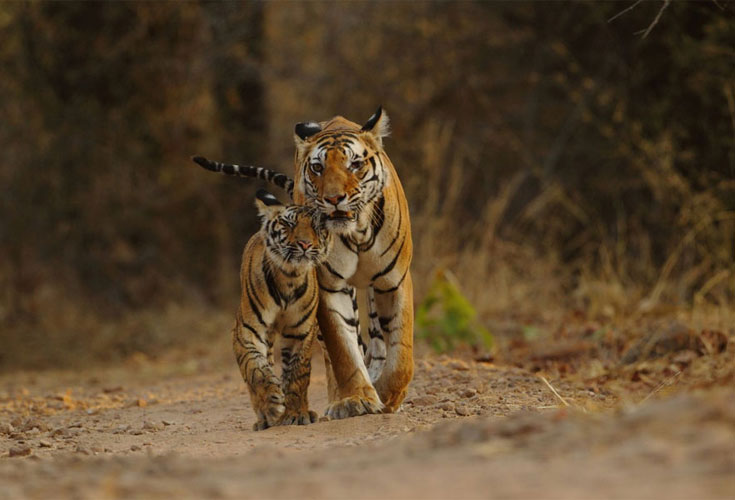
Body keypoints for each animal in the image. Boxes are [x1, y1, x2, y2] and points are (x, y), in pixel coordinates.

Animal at [232, 189, 332, 430]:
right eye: (289, 224)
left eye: (317, 227)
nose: (305, 244)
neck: (289, 277)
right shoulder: (246, 330)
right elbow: (255, 369)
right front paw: (271, 403)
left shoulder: (301, 332)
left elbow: (297, 375)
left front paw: (296, 414)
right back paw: (265, 418)